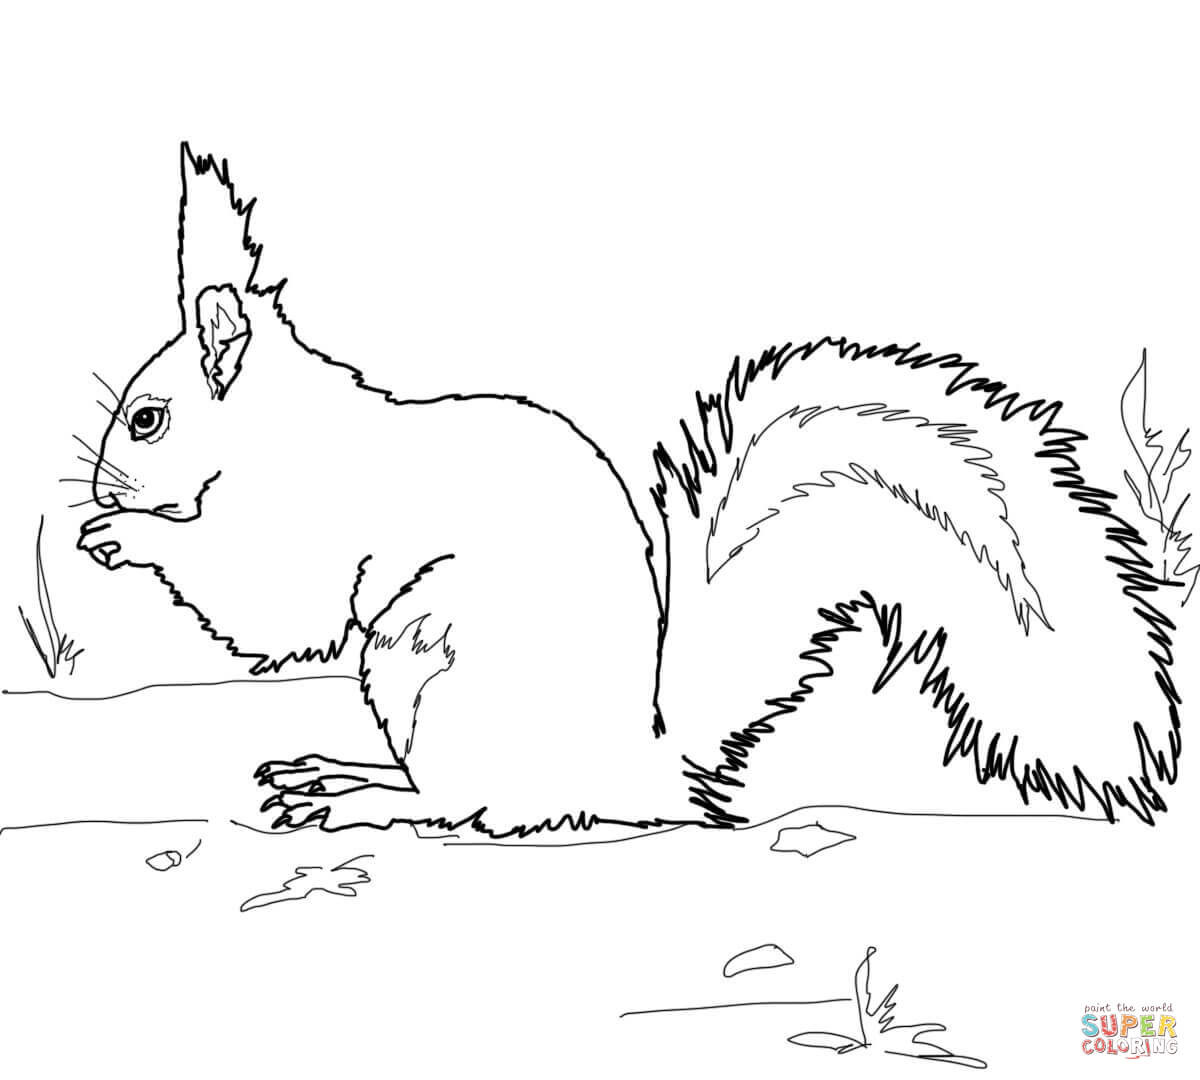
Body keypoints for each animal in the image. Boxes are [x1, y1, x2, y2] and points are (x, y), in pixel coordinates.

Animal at [79, 145, 1182, 838]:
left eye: (147, 420)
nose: (96, 479)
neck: (283, 436)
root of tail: (633, 765)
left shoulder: (302, 532)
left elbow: (262, 608)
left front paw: (120, 533)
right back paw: (341, 773)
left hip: (428, 665)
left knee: (463, 804)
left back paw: (358, 799)